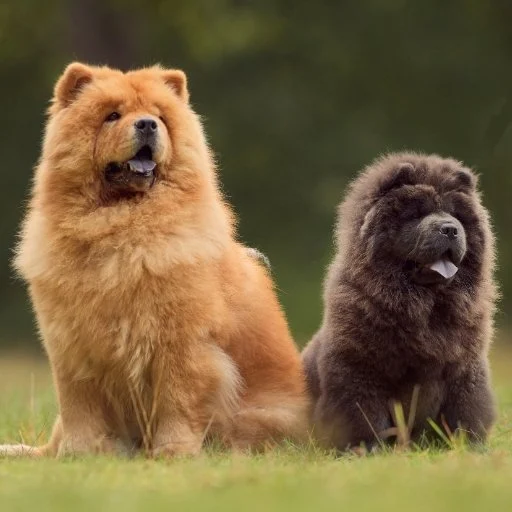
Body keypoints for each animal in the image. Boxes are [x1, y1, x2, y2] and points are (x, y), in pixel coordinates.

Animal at [1, 62, 308, 458]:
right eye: (112, 116)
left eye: (160, 117)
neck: (119, 227)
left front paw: (173, 452)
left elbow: (177, 401)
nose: (147, 124)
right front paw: (81, 453)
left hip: (260, 418)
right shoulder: (70, 345)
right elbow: (78, 406)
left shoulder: (180, 343)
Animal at [302, 153, 498, 452]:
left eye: (455, 214)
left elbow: (466, 409)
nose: (450, 229)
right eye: (416, 215)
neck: (426, 308)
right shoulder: (359, 368)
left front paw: (468, 446)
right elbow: (364, 412)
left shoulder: (464, 370)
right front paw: (366, 448)